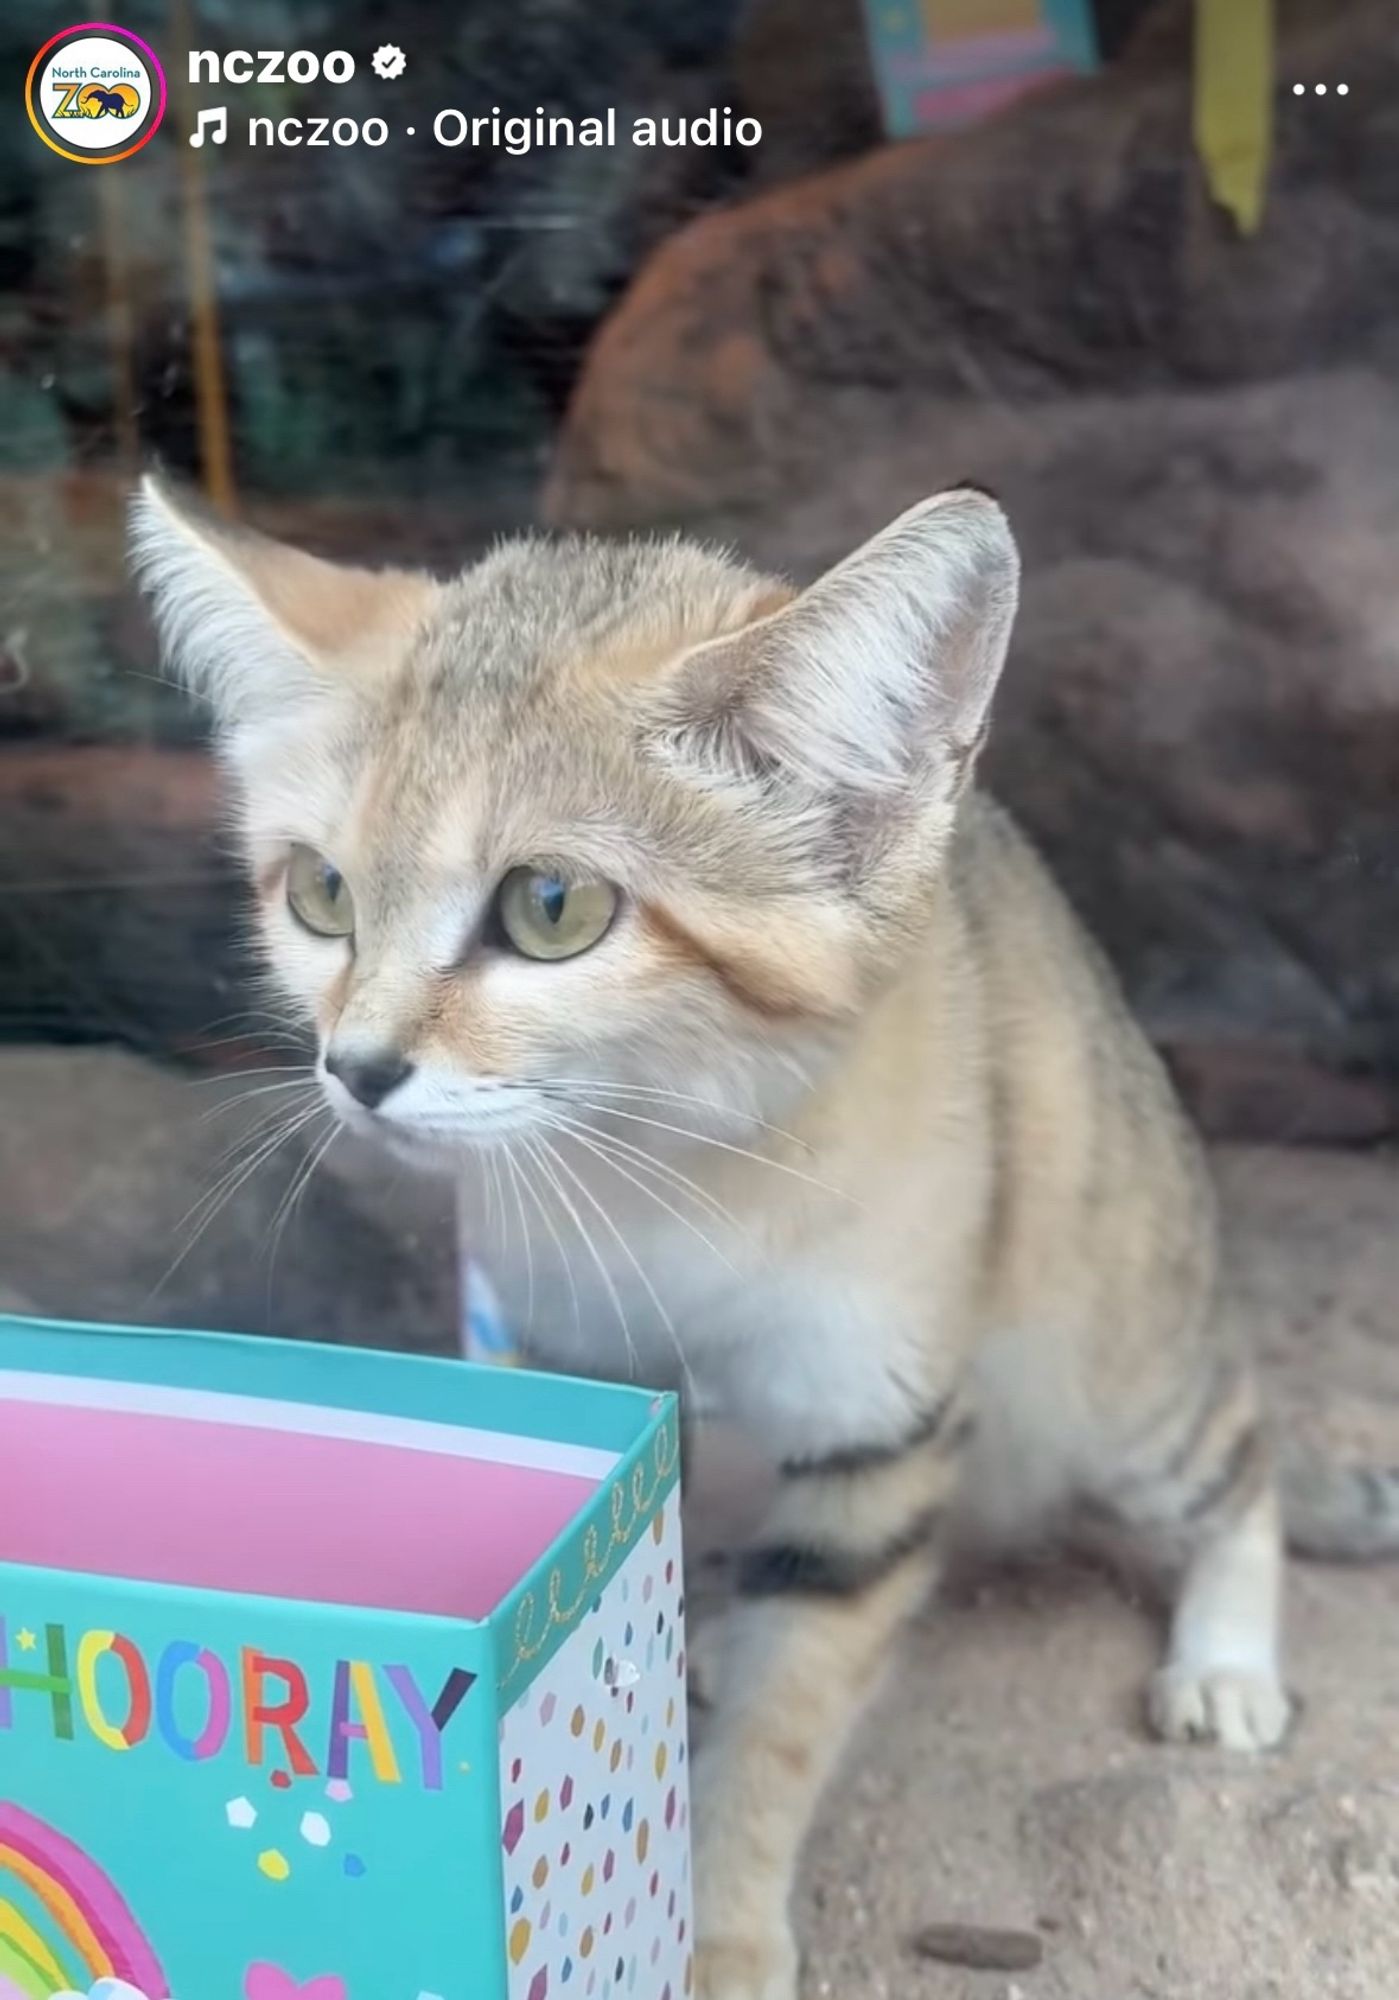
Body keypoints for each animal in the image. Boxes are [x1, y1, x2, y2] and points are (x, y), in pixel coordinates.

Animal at [133, 476, 1399, 1992]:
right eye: (320, 894)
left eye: (550, 908)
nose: (357, 1069)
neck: (655, 1189)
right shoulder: (552, 1371)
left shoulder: (876, 1437)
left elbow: (787, 1718)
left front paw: (713, 1923)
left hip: (1121, 1373)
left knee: (1239, 1463)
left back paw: (1223, 1658)